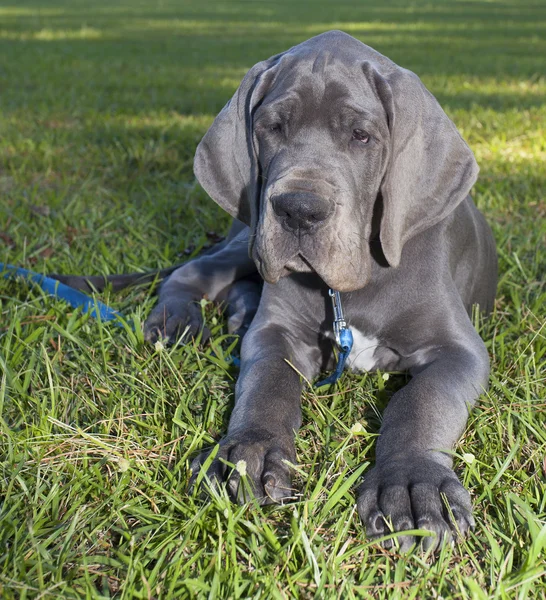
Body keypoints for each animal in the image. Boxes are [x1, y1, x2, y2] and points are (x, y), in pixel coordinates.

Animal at [65, 30, 498, 552]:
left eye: (361, 136)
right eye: (272, 127)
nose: (298, 210)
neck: (351, 290)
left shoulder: (459, 350)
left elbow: (422, 401)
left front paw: (413, 483)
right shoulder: (277, 333)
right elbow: (267, 382)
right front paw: (247, 452)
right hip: (248, 239)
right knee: (192, 271)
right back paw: (177, 320)